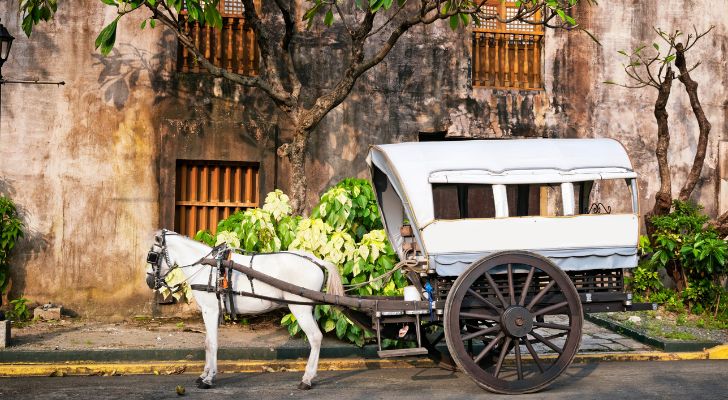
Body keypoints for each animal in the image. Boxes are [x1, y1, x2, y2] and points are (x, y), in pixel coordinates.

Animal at [146, 230, 346, 390]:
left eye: (152, 256)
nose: (149, 281)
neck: (208, 266)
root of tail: (316, 261)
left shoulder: (211, 311)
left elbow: (212, 343)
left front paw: (209, 379)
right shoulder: (210, 311)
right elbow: (207, 343)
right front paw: (204, 374)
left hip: (299, 309)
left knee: (315, 337)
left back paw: (307, 379)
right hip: (305, 308)